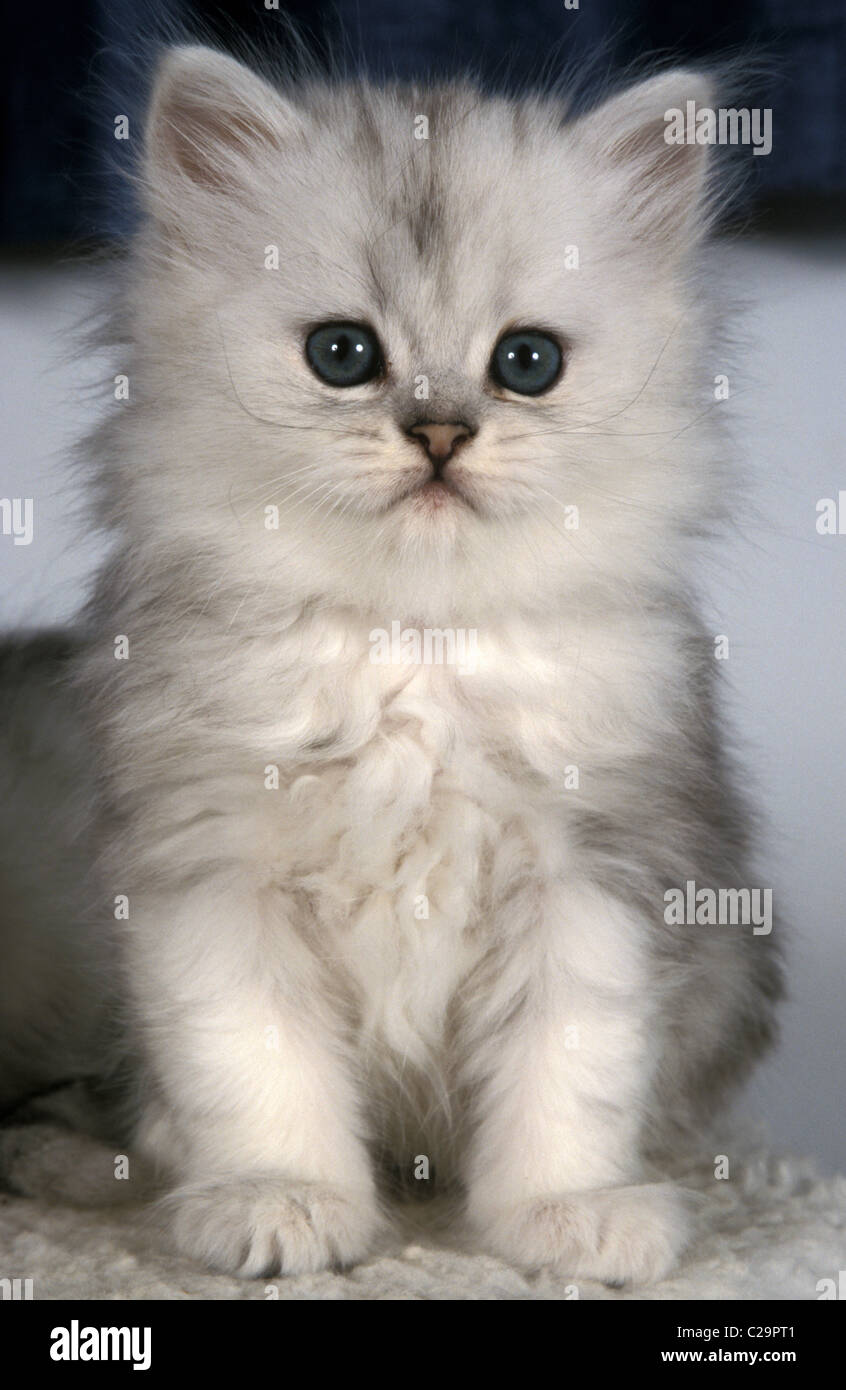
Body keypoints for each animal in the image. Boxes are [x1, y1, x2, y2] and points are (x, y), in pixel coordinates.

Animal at [6, 43, 783, 1278]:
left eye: (527, 363)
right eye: (343, 355)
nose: (440, 433)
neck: (413, 644)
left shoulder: (595, 878)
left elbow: (568, 1075)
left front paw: (570, 1219)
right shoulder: (212, 871)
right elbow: (257, 1068)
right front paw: (281, 1204)